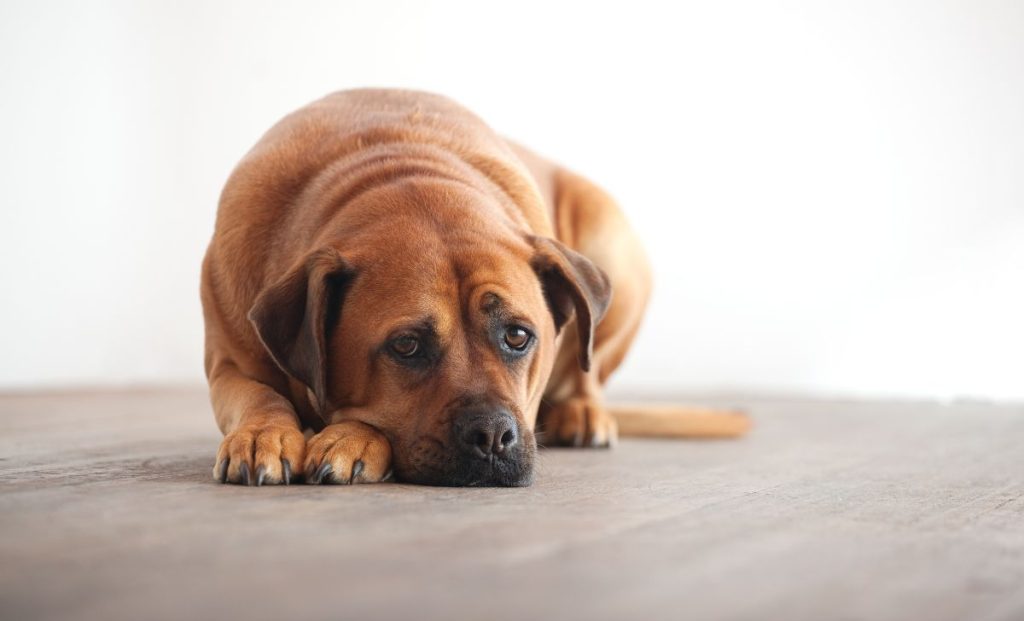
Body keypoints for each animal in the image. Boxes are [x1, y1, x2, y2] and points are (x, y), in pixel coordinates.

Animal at [199, 88, 749, 487]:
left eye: (519, 336)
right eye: (406, 345)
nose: (492, 436)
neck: (393, 165)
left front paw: (350, 437)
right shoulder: (229, 363)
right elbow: (257, 396)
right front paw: (264, 433)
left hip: (611, 240)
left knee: (589, 372)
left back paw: (584, 412)